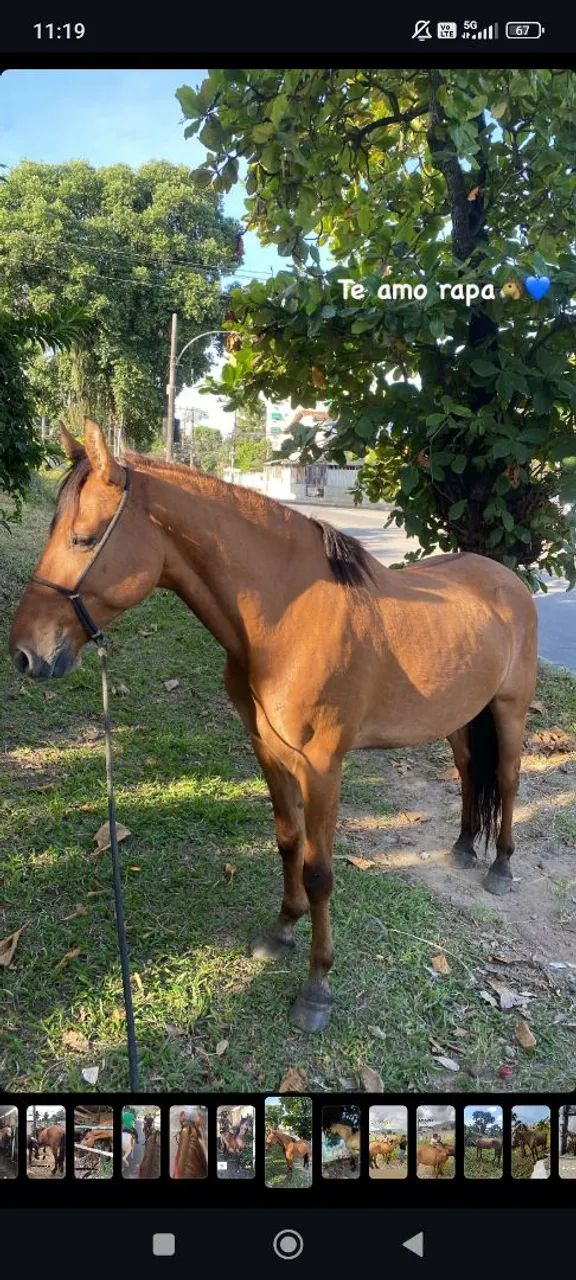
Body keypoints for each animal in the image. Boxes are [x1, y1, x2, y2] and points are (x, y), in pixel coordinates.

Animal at [9, 420, 538, 1032]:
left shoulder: (323, 768)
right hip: (459, 717)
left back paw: (501, 866)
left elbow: (319, 871)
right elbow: (288, 843)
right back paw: (462, 847)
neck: (287, 621)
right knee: (470, 772)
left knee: (505, 780)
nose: (25, 654)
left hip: (509, 710)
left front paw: (316, 987)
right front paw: (281, 932)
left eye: (84, 538)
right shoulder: (267, 750)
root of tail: (507, 580)